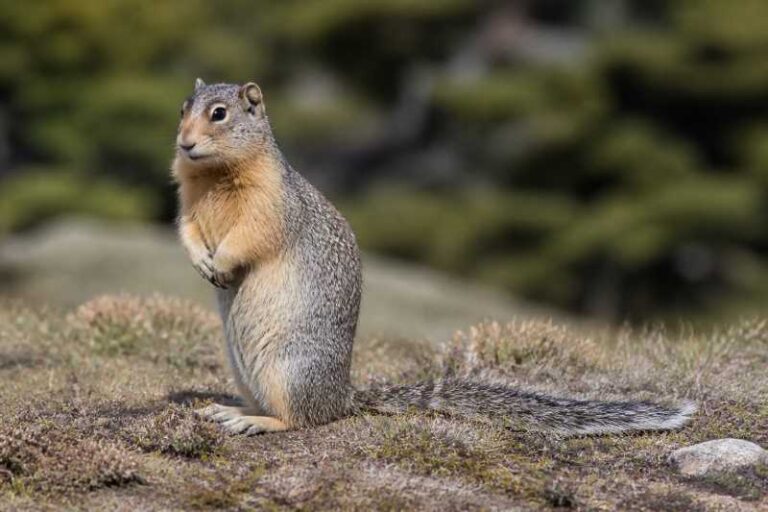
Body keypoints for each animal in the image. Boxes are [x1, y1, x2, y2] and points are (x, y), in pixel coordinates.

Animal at [172, 79, 695, 436]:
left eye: (219, 114)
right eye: (183, 108)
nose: (183, 142)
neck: (214, 175)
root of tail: (345, 396)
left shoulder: (269, 205)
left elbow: (250, 236)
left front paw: (221, 263)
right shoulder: (189, 206)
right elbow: (188, 231)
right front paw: (202, 262)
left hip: (289, 370)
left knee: (303, 419)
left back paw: (256, 422)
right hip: (246, 370)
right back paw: (229, 409)